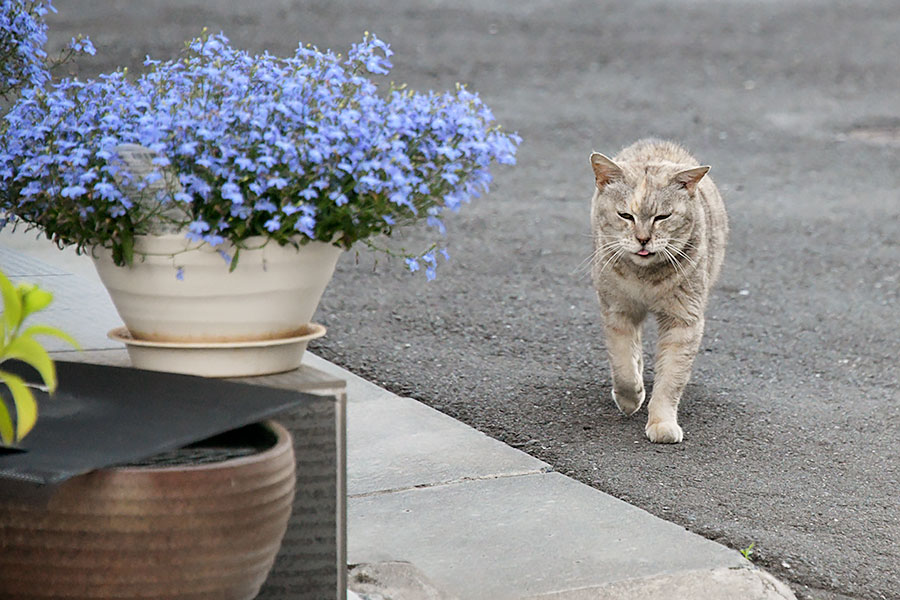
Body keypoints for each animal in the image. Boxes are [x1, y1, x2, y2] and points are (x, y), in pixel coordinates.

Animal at [588, 138, 728, 442]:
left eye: (662, 217)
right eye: (625, 215)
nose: (643, 239)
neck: (645, 279)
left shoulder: (684, 320)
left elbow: (671, 380)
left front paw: (661, 422)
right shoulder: (617, 311)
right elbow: (623, 364)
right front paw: (630, 398)